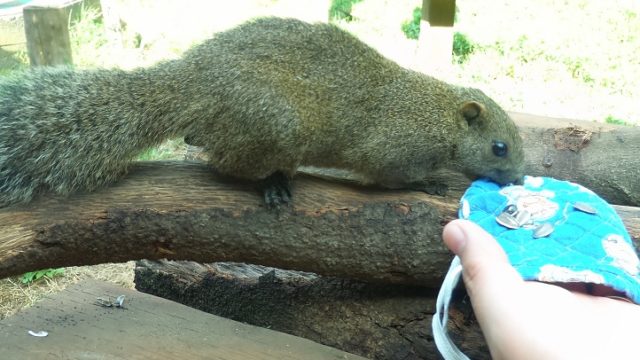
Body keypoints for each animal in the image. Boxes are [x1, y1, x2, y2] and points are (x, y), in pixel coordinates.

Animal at [0, 17, 524, 208]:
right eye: (499, 147)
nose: (520, 178)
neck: (439, 115)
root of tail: (191, 80)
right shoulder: (393, 147)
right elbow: (391, 177)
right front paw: (429, 182)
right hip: (277, 125)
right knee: (225, 165)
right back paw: (270, 183)